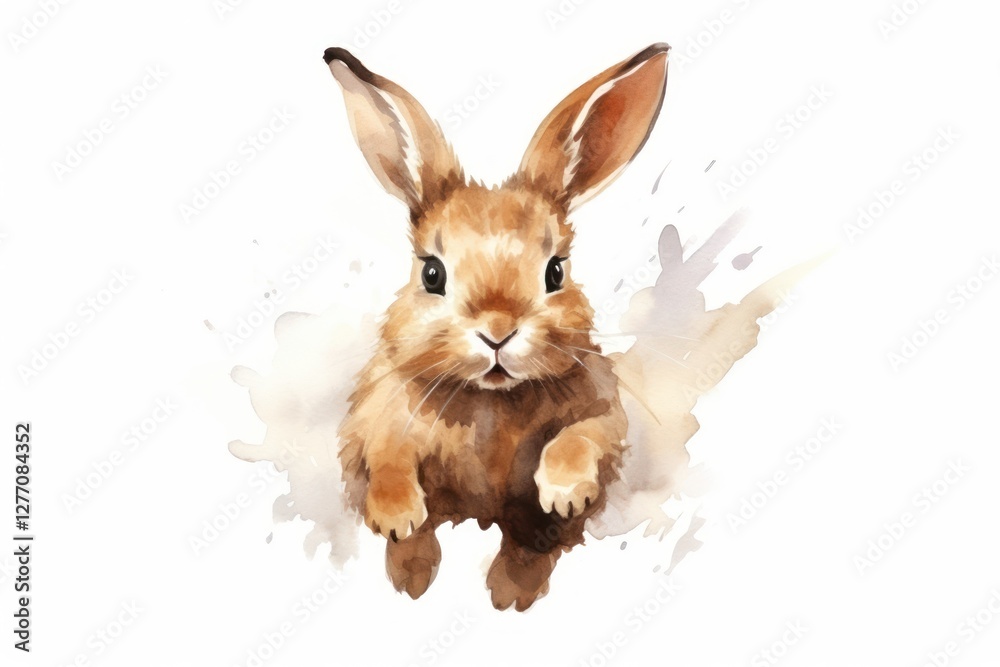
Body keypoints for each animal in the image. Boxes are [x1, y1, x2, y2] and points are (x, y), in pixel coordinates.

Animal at [324, 43, 670, 611]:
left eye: (555, 272)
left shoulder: (602, 413)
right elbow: (389, 457)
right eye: (432, 273)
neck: (490, 400)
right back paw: (415, 582)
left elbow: (582, 437)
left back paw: (508, 594)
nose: (498, 332)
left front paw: (563, 490)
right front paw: (399, 516)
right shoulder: (379, 418)